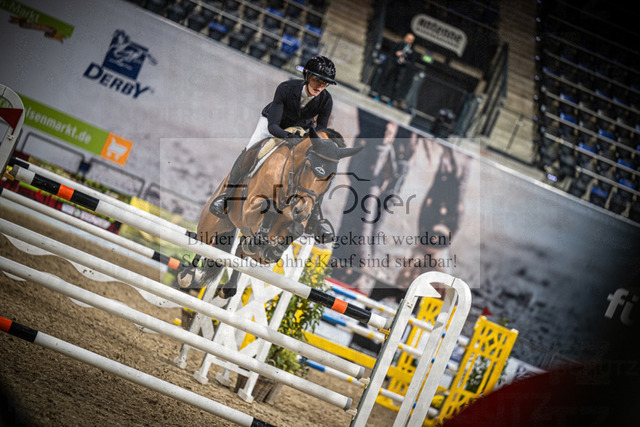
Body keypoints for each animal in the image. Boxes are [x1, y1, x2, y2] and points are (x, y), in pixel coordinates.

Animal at [176, 127, 362, 299]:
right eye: (308, 167)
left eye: (331, 177)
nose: (301, 211)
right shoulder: (250, 208)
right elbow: (269, 207)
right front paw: (265, 240)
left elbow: (296, 229)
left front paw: (274, 250)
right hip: (212, 221)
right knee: (203, 241)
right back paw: (187, 276)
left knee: (241, 252)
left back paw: (231, 283)